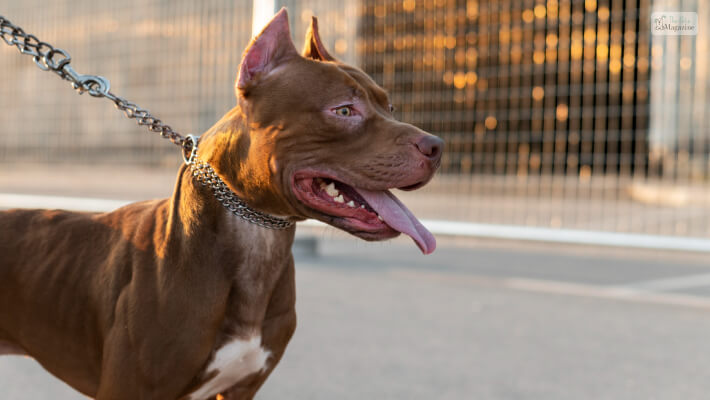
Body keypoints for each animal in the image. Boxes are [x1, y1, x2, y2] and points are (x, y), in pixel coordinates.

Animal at [0, 9, 442, 400]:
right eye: (344, 110)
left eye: (389, 107)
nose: (437, 146)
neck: (257, 235)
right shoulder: (132, 389)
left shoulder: (240, 388)